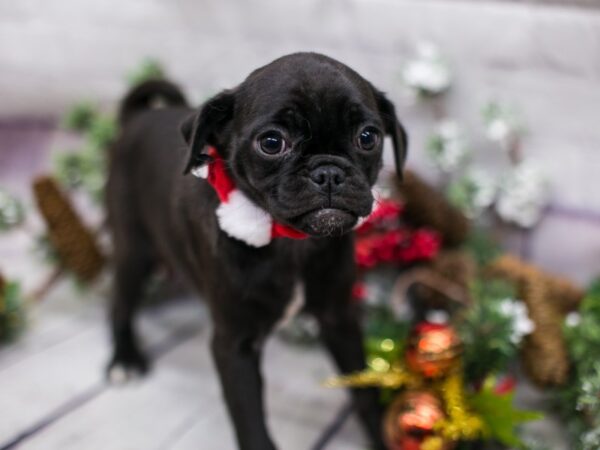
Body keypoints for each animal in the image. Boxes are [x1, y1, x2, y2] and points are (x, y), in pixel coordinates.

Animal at [106, 53, 408, 450]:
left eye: (368, 137)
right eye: (272, 142)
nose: (328, 172)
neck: (291, 242)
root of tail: (136, 119)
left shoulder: (339, 319)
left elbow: (365, 393)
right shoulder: (236, 346)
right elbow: (251, 423)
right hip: (133, 248)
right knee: (120, 301)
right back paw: (124, 360)